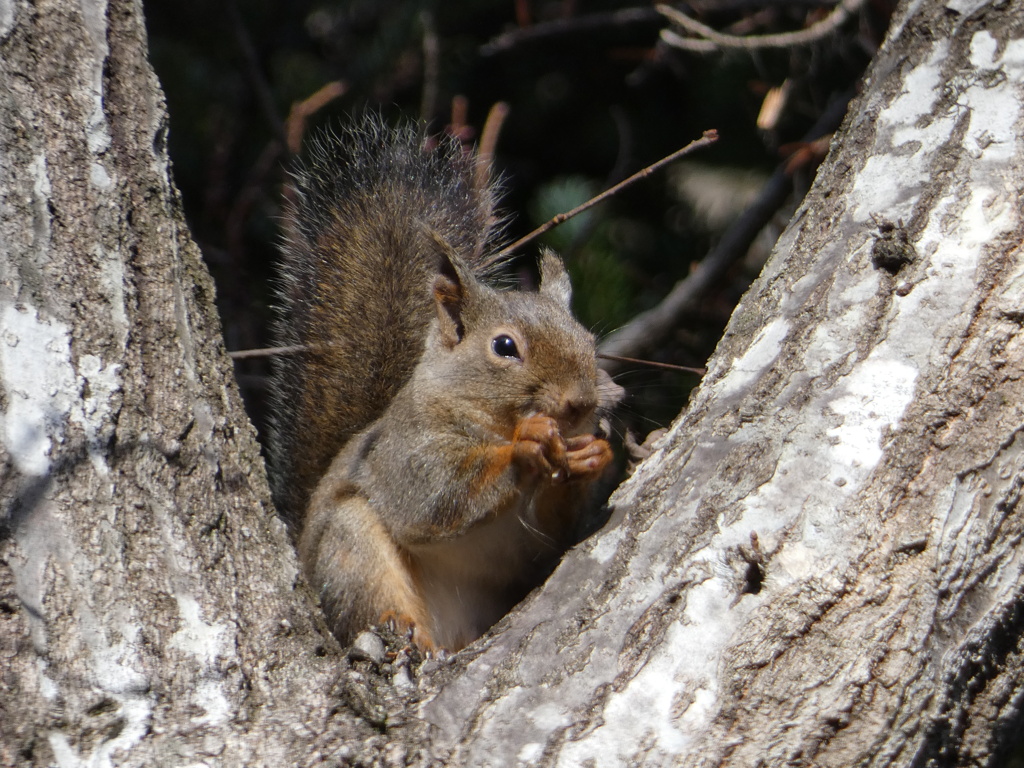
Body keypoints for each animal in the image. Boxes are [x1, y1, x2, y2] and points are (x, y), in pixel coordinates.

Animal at [270, 117, 614, 651]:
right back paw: (405, 634)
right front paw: (527, 445)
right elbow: (439, 497)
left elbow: (553, 533)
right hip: (349, 546)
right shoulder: (409, 452)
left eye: (588, 340)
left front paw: (593, 455)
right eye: (505, 347)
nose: (581, 404)